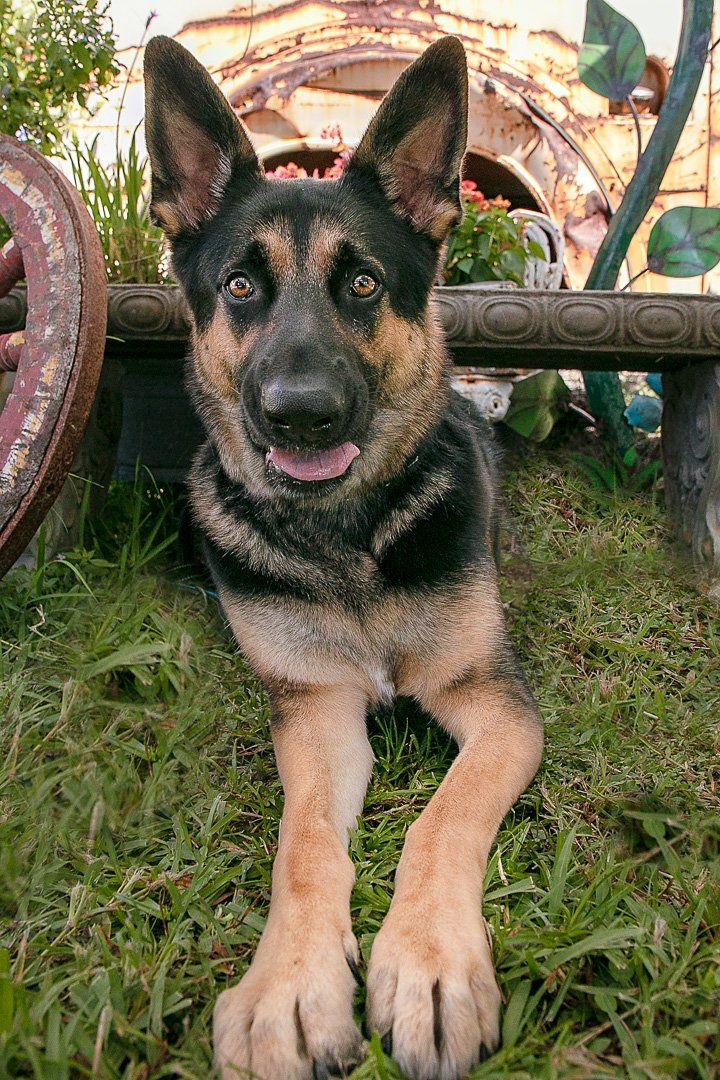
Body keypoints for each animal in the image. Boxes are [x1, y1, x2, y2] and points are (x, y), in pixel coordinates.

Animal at [144, 35, 539, 1080]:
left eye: (362, 283)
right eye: (240, 286)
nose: (302, 414)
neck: (349, 540)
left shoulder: (495, 706)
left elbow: (444, 818)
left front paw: (432, 967)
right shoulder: (318, 714)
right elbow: (305, 844)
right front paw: (288, 989)